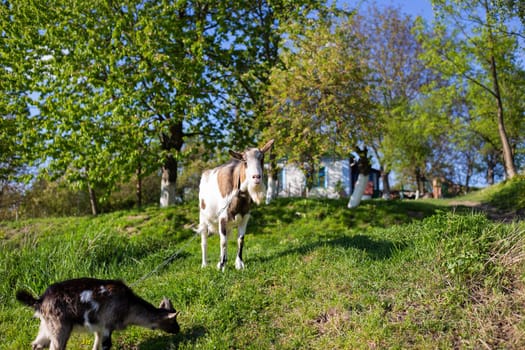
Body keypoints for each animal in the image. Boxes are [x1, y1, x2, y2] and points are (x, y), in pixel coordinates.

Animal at [15, 278, 179, 350]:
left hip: (46, 326)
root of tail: (40, 300)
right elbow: (106, 345)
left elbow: (96, 342)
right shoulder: (107, 325)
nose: (178, 330)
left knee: (36, 344)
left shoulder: (98, 326)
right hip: (60, 329)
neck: (128, 306)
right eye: (173, 320)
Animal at [198, 139, 274, 270]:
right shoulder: (222, 216)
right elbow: (223, 242)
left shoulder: (245, 217)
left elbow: (240, 240)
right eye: (245, 162)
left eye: (262, 159)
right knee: (204, 241)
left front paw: (239, 264)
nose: (256, 177)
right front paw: (221, 265)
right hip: (203, 217)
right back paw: (204, 264)